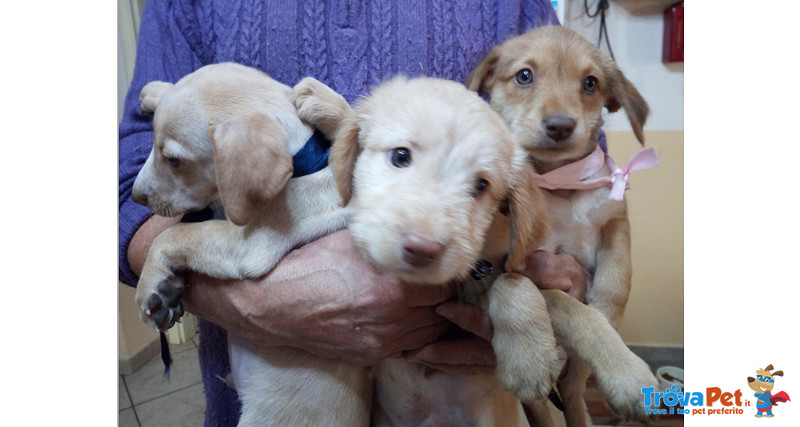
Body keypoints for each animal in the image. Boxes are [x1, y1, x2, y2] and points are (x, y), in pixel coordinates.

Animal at [468, 25, 664, 424]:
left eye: (590, 83)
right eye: (524, 76)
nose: (560, 126)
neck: (561, 184)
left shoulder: (615, 219)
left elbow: (617, 282)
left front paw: (608, 312)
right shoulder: (528, 264)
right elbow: (573, 309)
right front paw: (628, 375)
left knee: (573, 388)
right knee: (545, 403)